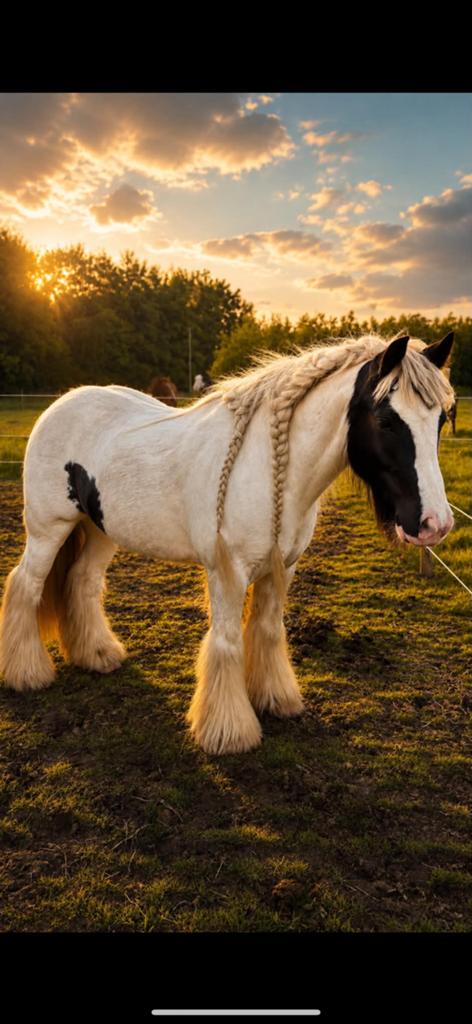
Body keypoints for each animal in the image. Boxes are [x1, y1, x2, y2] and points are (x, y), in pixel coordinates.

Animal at [0, 332, 455, 755]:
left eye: (440, 420)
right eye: (387, 421)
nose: (435, 523)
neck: (269, 470)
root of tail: (61, 405)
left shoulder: (282, 567)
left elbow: (268, 631)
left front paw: (276, 699)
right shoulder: (228, 572)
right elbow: (227, 643)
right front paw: (229, 732)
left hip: (98, 531)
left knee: (81, 582)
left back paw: (97, 655)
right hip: (49, 529)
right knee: (25, 584)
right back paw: (26, 673)